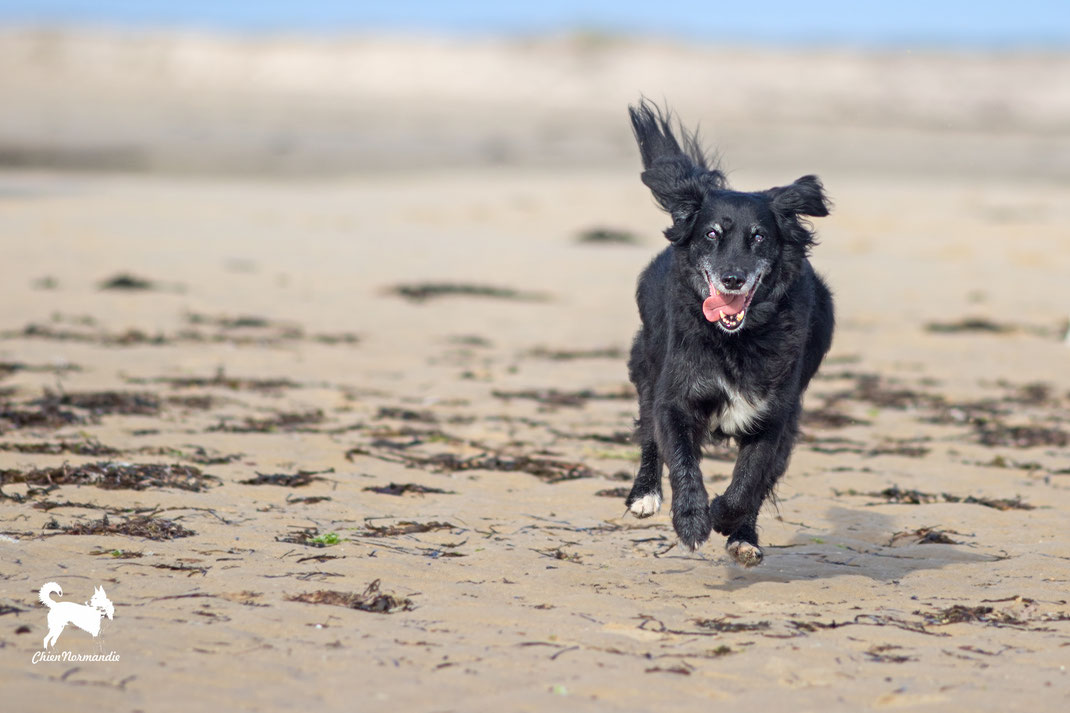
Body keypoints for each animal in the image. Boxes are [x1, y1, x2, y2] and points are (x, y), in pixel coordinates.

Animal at [620, 101, 834, 565]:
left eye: (759, 237)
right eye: (711, 233)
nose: (733, 279)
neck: (735, 341)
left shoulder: (774, 418)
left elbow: (748, 483)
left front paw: (725, 518)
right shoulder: (675, 398)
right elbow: (681, 459)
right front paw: (692, 520)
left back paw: (744, 537)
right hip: (646, 364)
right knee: (647, 433)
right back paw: (644, 495)